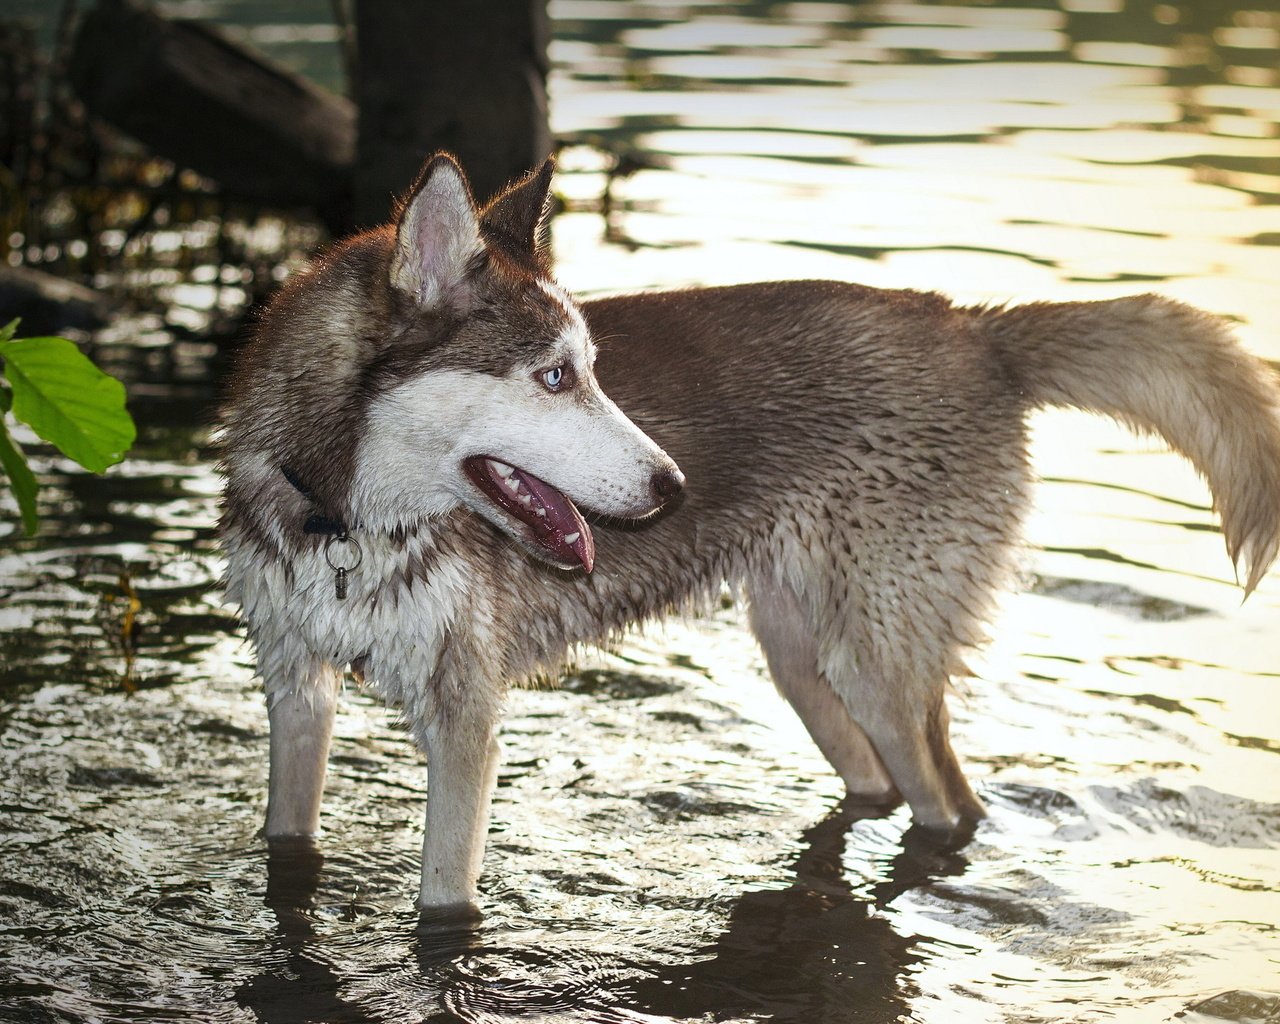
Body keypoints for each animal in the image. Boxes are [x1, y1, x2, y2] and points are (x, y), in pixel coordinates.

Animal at [222, 152, 1280, 911]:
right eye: (555, 376)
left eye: (592, 368)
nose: (673, 485)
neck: (342, 524)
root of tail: (975, 327)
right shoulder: (296, 690)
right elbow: (286, 837)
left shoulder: (465, 721)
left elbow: (444, 905)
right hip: (800, 655)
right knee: (878, 784)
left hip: (878, 662)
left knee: (948, 802)